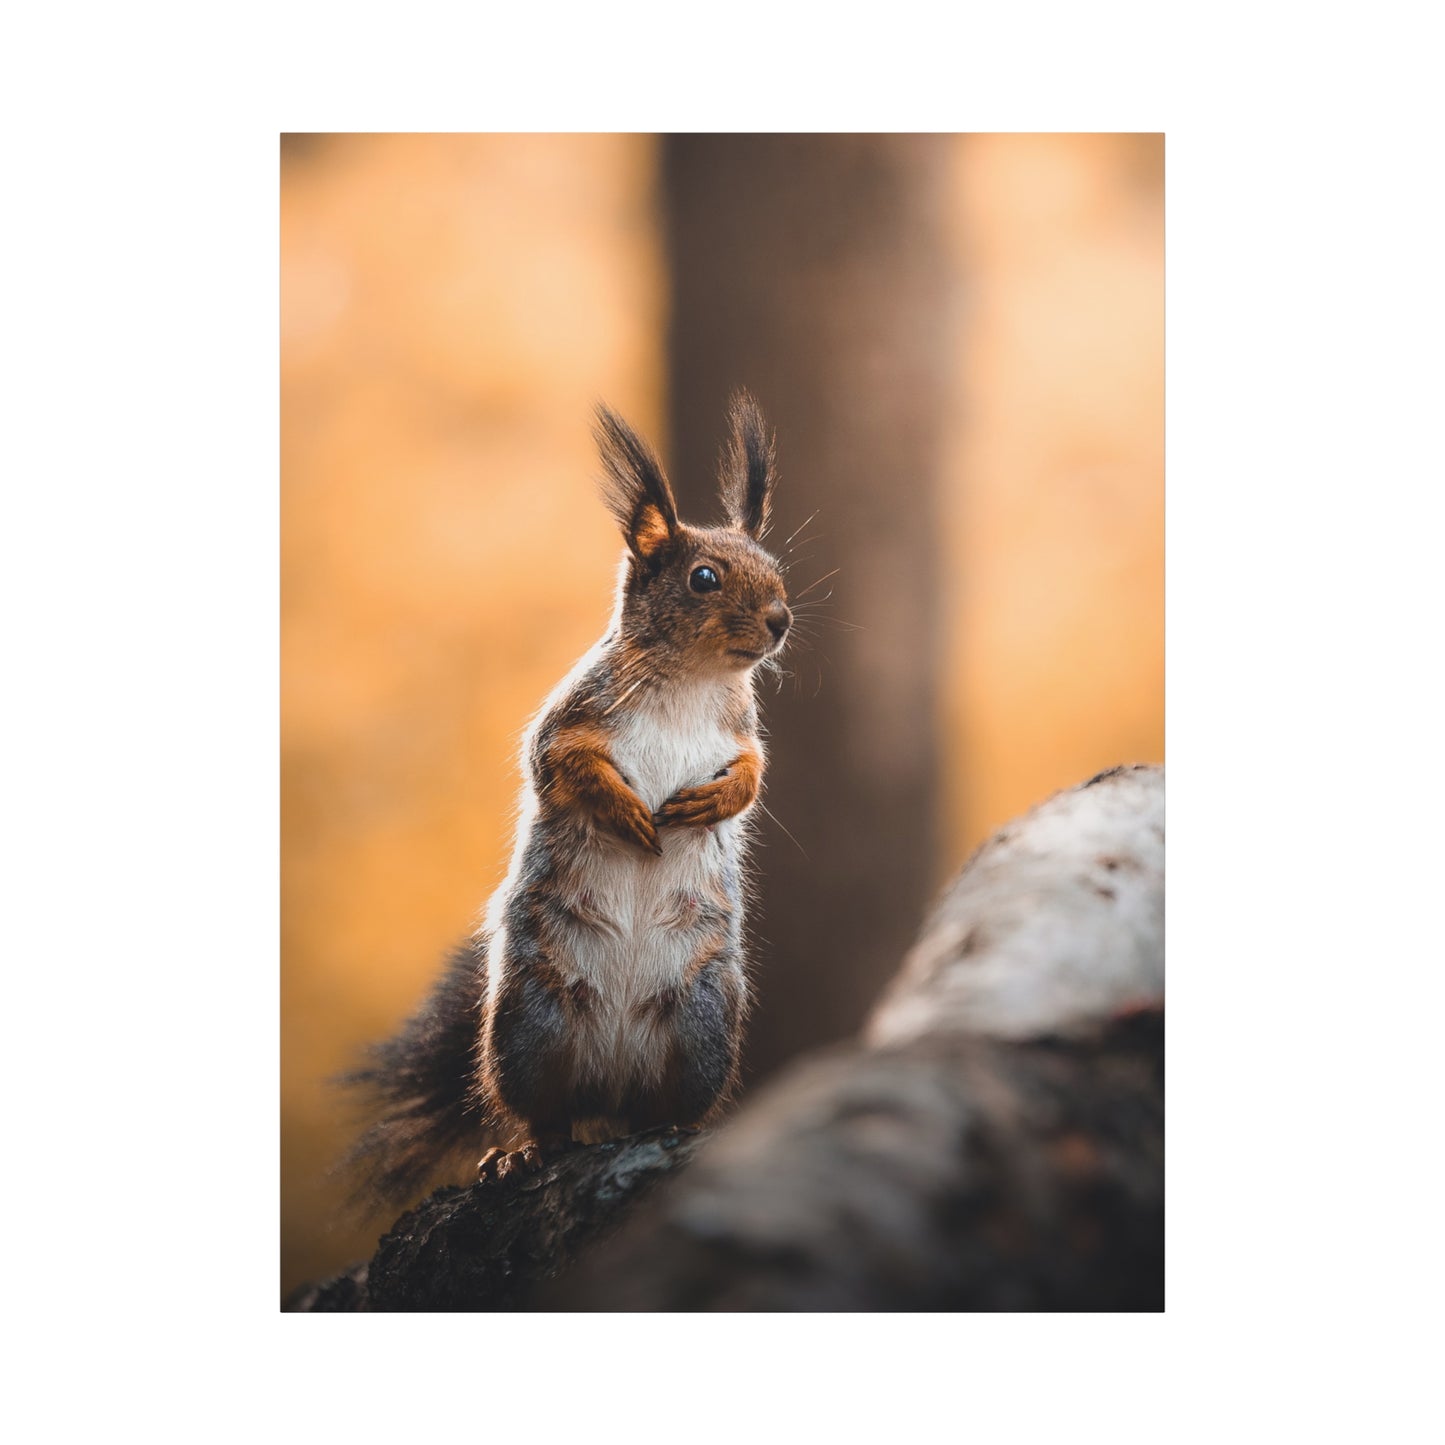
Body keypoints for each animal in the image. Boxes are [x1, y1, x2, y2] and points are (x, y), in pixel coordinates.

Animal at [343, 392, 792, 1209]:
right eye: (703, 578)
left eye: (776, 570)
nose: (780, 620)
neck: (692, 680)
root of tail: (610, 1081)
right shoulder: (571, 718)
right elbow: (563, 764)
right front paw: (627, 813)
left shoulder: (740, 733)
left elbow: (751, 775)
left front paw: (709, 804)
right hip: (528, 1025)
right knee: (545, 1114)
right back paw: (523, 1152)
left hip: (703, 1024)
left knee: (658, 1109)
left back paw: (665, 1128)